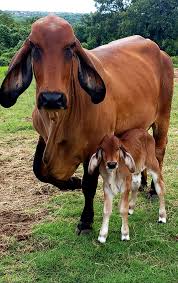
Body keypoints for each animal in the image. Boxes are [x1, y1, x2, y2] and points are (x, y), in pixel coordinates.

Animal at [0, 14, 173, 234]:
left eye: (70, 47)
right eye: (35, 47)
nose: (52, 98)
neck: (60, 120)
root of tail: (161, 52)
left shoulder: (95, 146)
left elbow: (88, 185)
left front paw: (85, 221)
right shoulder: (43, 138)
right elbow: (39, 171)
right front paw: (71, 182)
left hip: (163, 118)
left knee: (159, 152)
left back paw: (152, 189)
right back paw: (140, 183)